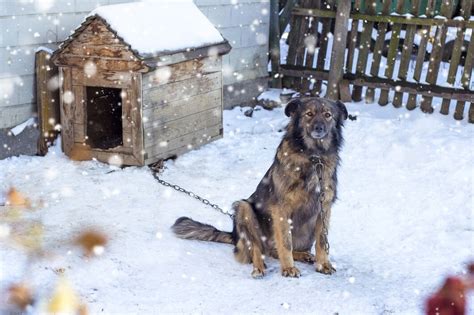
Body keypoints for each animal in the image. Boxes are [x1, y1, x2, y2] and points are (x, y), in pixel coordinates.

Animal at [172, 97, 346, 278]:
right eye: (309, 114)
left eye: (328, 115)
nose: (319, 128)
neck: (313, 156)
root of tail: (234, 236)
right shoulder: (282, 209)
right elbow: (285, 243)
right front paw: (288, 268)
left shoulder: (324, 208)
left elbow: (322, 241)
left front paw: (323, 264)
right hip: (243, 208)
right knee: (257, 248)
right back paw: (259, 267)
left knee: (274, 251)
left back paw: (304, 255)